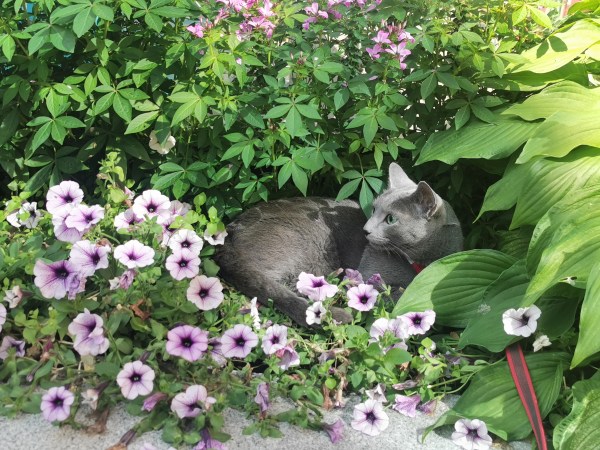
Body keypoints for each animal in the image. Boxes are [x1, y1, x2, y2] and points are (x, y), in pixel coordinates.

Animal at [214, 163, 463, 326]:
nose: (365, 230)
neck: (423, 262)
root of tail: (227, 236)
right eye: (374, 209)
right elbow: (397, 295)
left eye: (391, 219)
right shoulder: (369, 277)